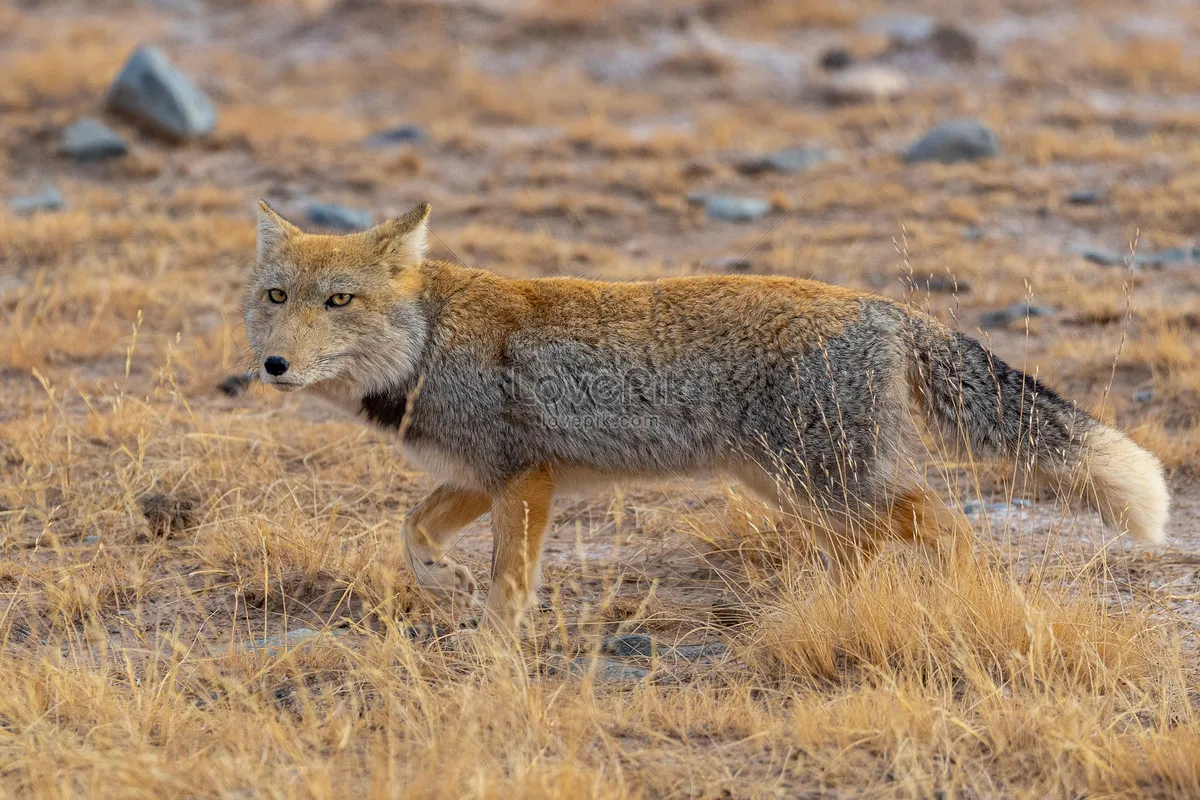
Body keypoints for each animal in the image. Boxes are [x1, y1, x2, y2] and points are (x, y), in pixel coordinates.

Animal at [246, 201, 1171, 638]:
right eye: (277, 298)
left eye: (339, 301)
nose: (272, 367)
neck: (428, 342)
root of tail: (881, 306)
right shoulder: (484, 475)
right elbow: (412, 532)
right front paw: (447, 586)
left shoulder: (523, 479)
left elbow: (512, 580)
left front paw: (492, 647)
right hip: (797, 485)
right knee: (884, 539)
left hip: (830, 481)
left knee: (944, 520)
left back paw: (951, 596)